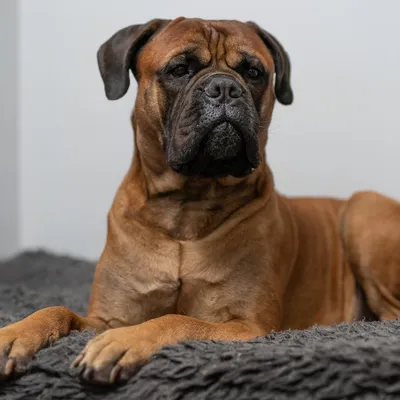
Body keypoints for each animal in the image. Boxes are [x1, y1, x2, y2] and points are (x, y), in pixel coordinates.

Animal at [0, 17, 400, 386]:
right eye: (180, 69)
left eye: (253, 72)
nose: (224, 87)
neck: (186, 208)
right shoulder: (105, 317)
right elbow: (58, 310)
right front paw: (14, 334)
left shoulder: (245, 325)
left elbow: (176, 319)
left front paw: (125, 342)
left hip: (363, 209)